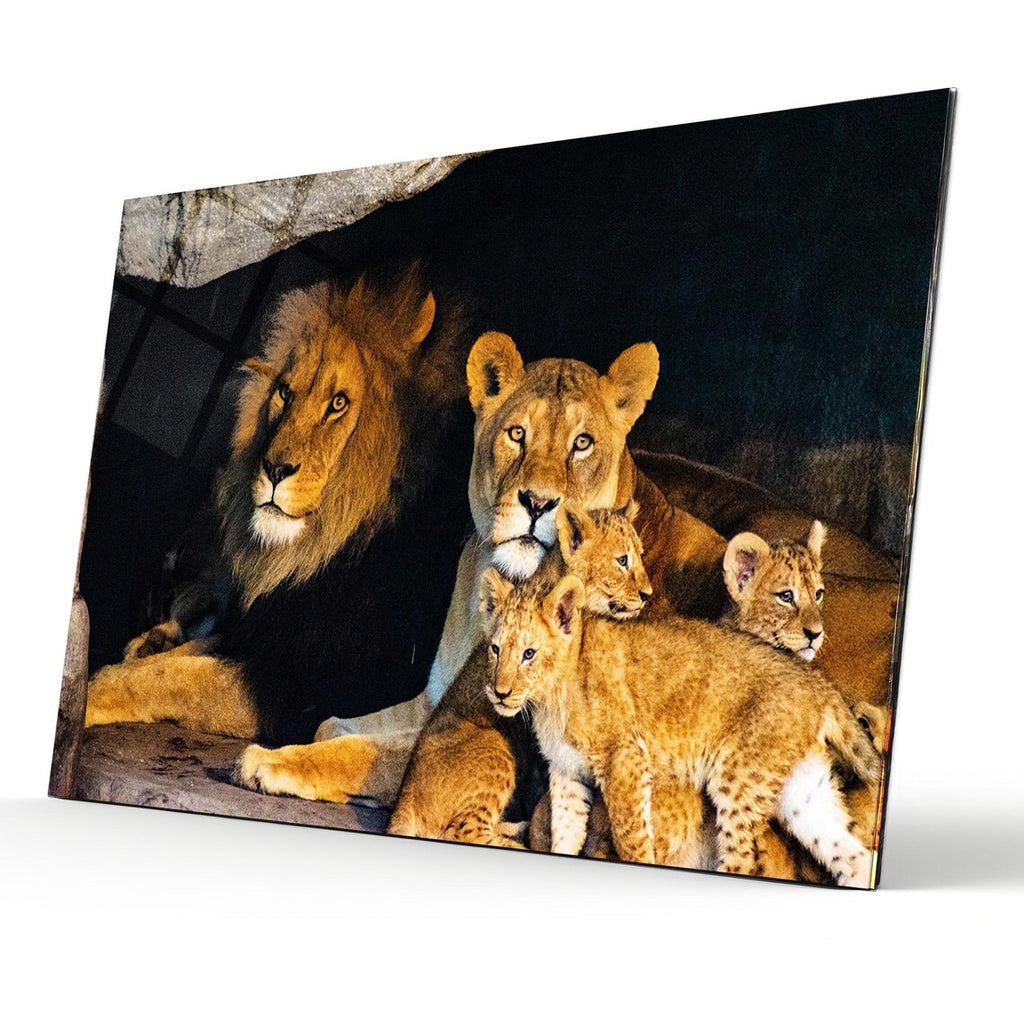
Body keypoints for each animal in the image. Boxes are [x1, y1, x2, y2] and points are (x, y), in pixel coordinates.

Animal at [85, 267, 475, 758]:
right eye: (285, 393)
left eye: (339, 403)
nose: (274, 469)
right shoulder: (262, 634)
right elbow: (189, 654)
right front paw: (145, 649)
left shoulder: (295, 684)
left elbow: (171, 678)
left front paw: (91, 692)